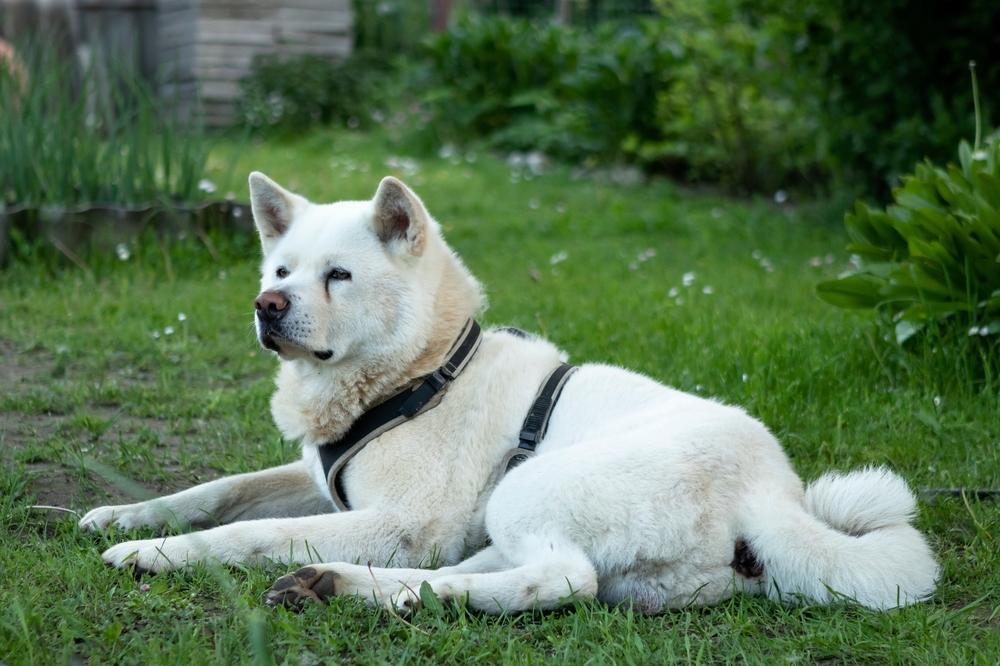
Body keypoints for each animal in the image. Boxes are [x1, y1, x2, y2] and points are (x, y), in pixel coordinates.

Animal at [80, 172, 936, 612]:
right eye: (282, 270)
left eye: (339, 275)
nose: (267, 306)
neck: (422, 374)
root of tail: (773, 492)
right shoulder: (321, 478)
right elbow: (220, 490)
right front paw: (123, 514)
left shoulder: (400, 522)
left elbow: (249, 533)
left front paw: (155, 554)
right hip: (510, 511)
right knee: (502, 570)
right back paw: (355, 588)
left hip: (530, 488)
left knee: (559, 580)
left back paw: (367, 589)